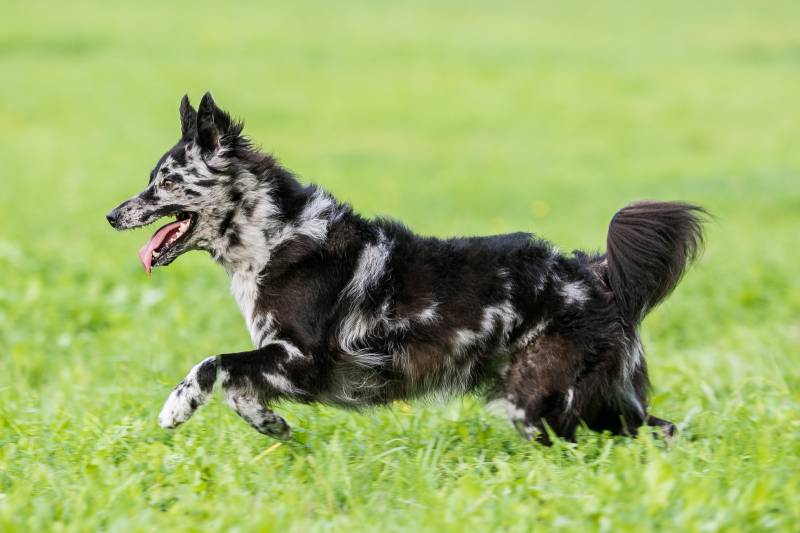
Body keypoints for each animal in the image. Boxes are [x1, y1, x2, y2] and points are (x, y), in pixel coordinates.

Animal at [108, 93, 708, 442]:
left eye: (164, 182)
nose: (112, 215)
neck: (274, 234)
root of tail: (595, 273)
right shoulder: (283, 363)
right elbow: (238, 385)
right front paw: (272, 424)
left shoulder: (304, 360)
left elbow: (214, 364)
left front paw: (176, 408)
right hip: (591, 401)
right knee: (661, 429)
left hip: (539, 402)